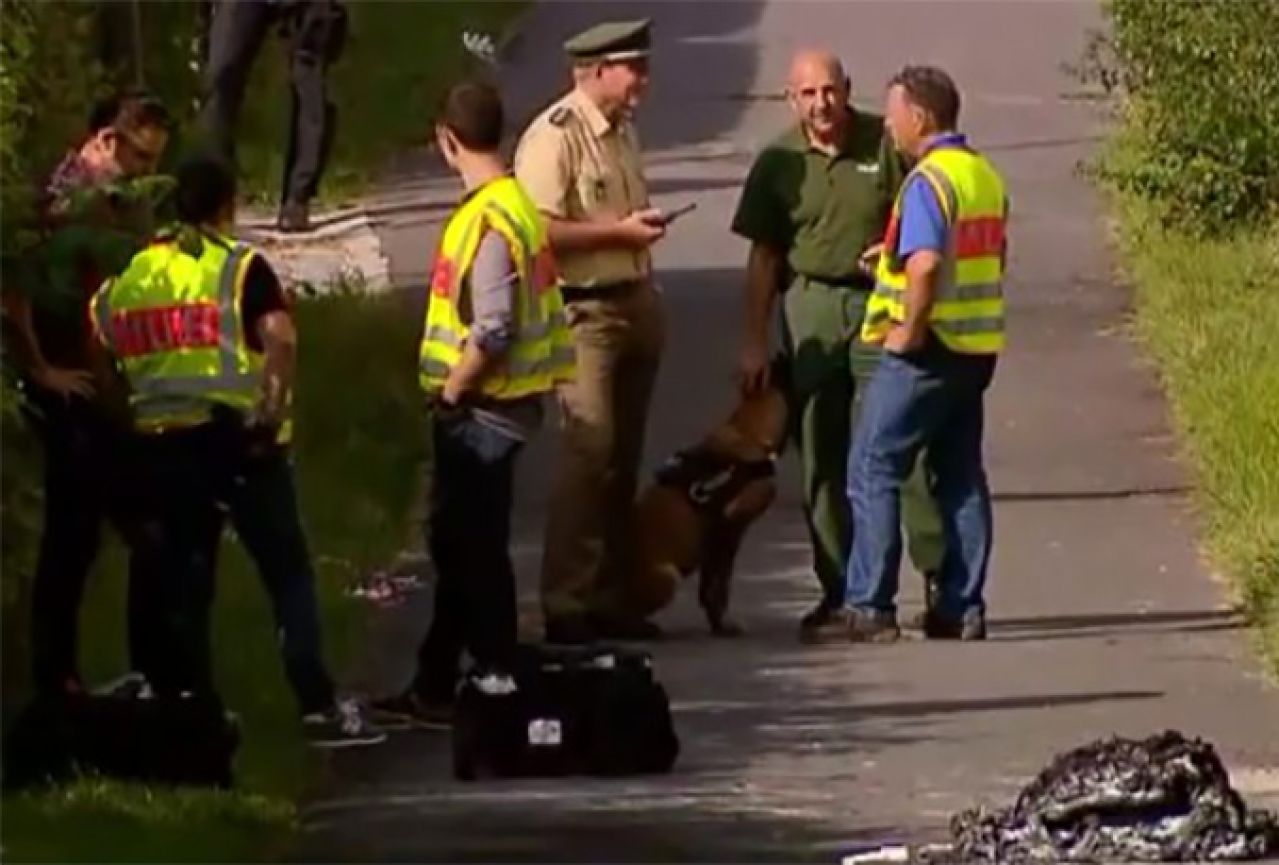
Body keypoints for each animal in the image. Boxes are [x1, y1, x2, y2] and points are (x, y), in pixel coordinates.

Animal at [621, 358, 787, 634]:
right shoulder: (728, 530)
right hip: (667, 576)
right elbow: (719, 587)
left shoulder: (717, 542)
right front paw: (723, 623)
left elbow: (710, 587)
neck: (747, 429)